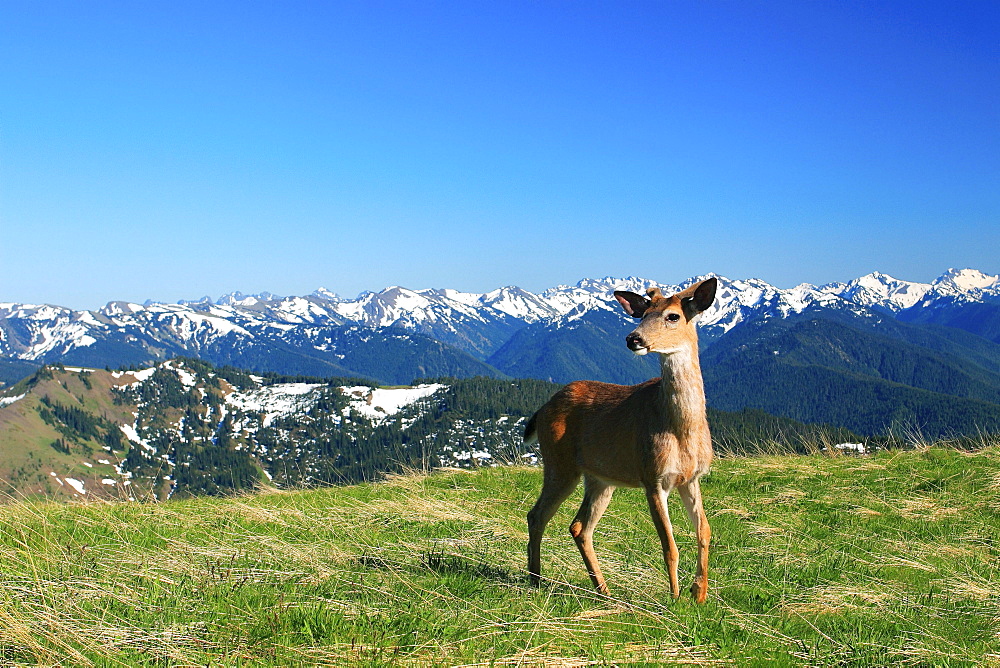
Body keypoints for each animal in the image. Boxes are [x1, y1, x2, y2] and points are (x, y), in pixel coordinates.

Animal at [524, 278, 720, 604]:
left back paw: (603, 590)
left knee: (579, 527)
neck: (682, 431)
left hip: (600, 478)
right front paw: (675, 598)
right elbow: (669, 545)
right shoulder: (652, 476)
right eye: (643, 315)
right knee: (536, 515)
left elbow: (704, 531)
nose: (633, 338)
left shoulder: (692, 478)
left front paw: (699, 593)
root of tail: (542, 409)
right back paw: (536, 580)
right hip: (559, 463)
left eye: (673, 316)